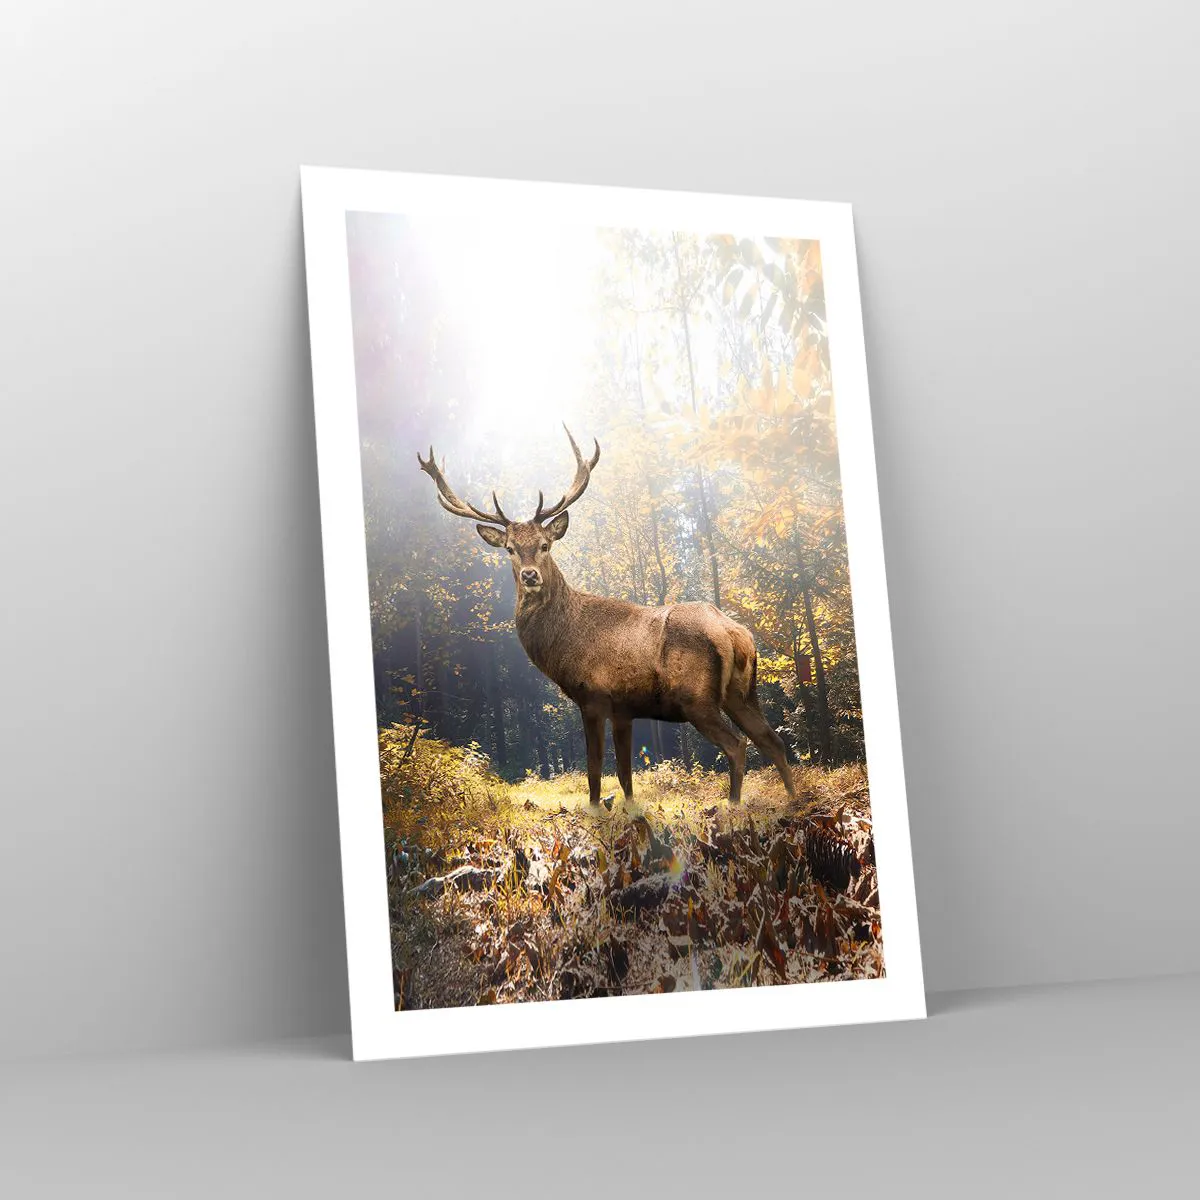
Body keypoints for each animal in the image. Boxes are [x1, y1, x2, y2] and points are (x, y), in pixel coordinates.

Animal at [418, 426, 798, 806]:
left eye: (544, 545)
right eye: (510, 549)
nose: (529, 575)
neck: (563, 643)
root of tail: (733, 632)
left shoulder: (593, 696)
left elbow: (595, 769)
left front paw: (597, 810)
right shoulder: (624, 709)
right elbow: (626, 774)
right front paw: (630, 810)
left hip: (696, 697)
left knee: (737, 745)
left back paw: (733, 805)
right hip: (742, 692)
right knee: (774, 741)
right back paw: (794, 799)